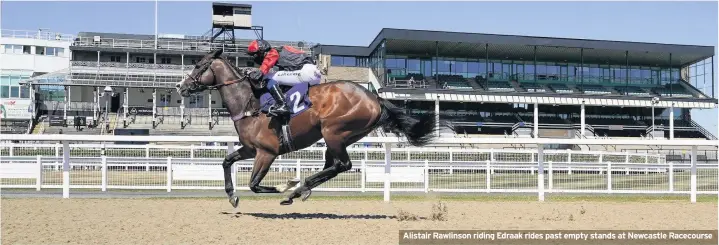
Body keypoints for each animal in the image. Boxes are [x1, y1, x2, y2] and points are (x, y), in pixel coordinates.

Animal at [174, 49, 444, 207]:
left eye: (198, 66)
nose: (180, 87)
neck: (250, 104)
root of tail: (374, 97)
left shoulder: (267, 152)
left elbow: (254, 184)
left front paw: (285, 185)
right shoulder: (250, 148)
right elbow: (227, 161)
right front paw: (232, 195)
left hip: (334, 131)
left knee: (343, 165)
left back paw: (297, 188)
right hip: (340, 137)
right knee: (334, 165)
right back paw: (300, 190)